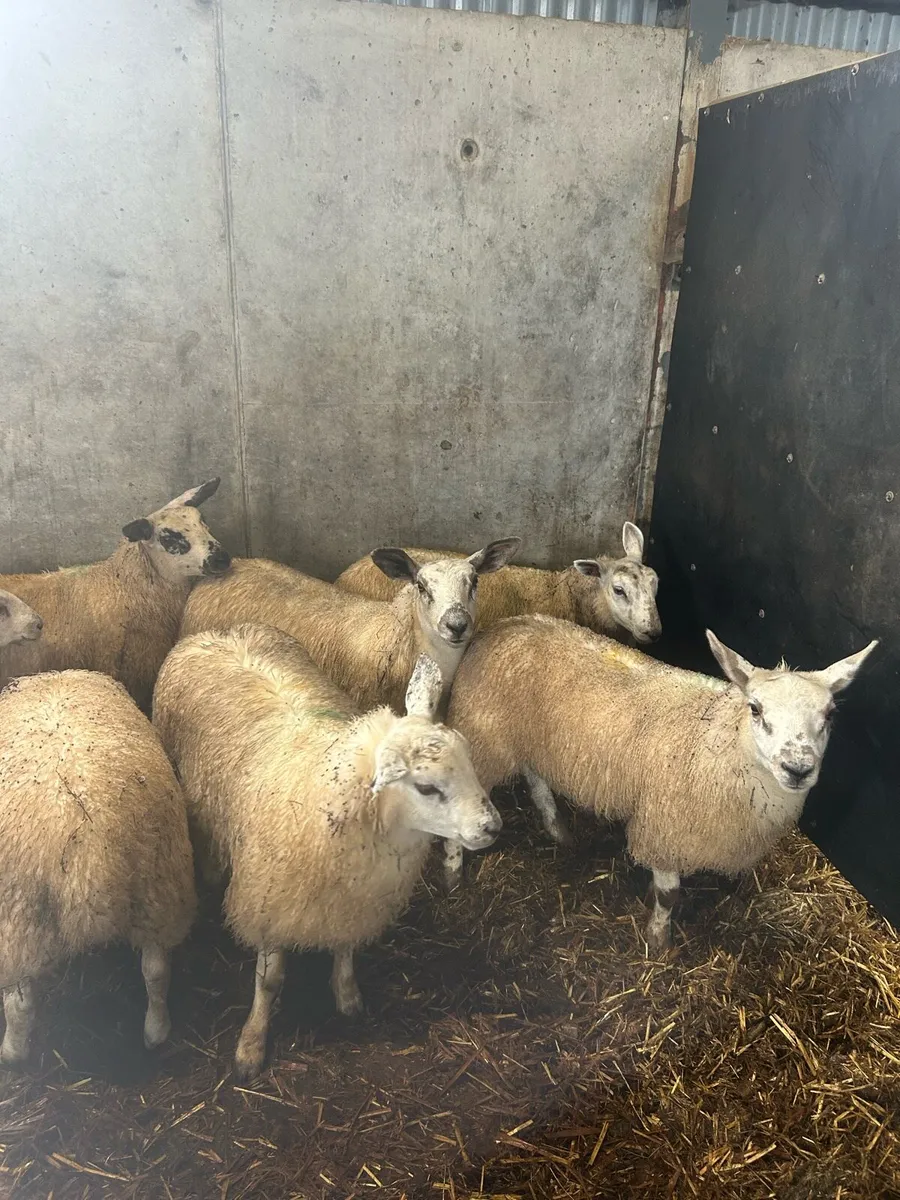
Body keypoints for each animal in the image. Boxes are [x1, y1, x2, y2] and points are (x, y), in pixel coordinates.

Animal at [0, 669, 196, 1064]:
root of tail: (90, 855)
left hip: (16, 918)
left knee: (20, 1003)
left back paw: (11, 1053)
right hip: (160, 885)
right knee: (156, 969)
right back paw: (156, 1032)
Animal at [153, 625, 501, 1081]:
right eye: (426, 787)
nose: (492, 827)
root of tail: (220, 632)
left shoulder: (352, 899)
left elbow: (346, 946)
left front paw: (347, 994)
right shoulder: (269, 902)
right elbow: (269, 981)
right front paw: (251, 1044)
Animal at [447, 615, 877, 948]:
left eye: (830, 715)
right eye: (755, 709)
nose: (798, 768)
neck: (716, 740)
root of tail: (502, 625)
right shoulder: (666, 828)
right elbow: (669, 895)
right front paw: (658, 940)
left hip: (530, 739)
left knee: (536, 778)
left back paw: (557, 829)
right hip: (484, 739)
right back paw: (453, 877)